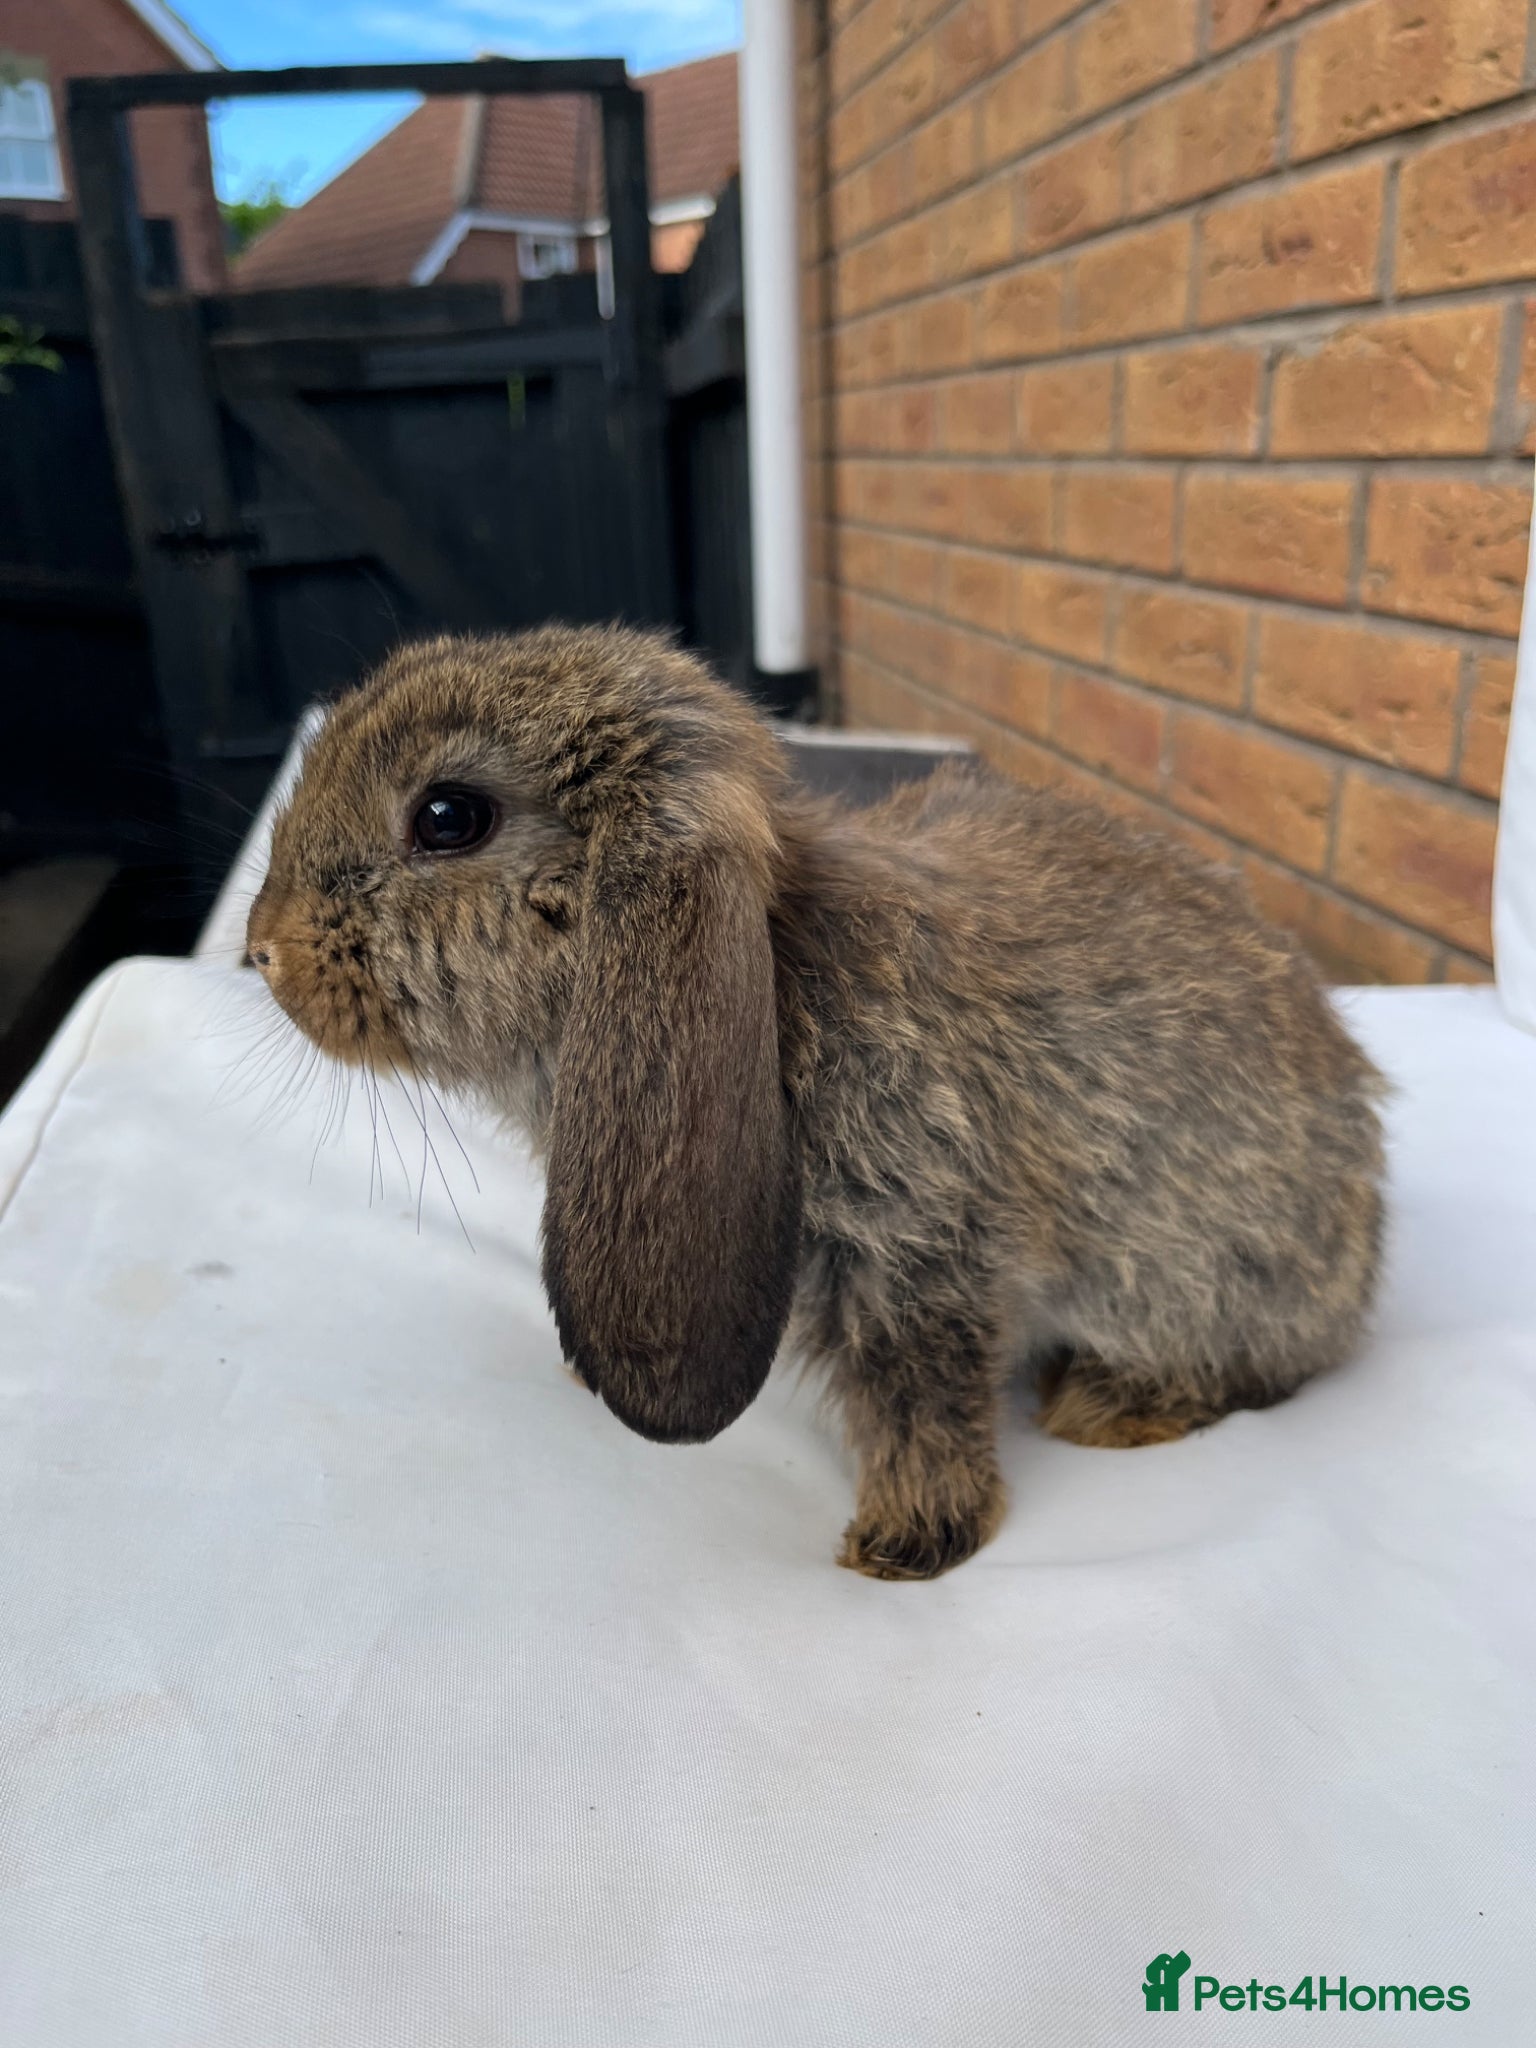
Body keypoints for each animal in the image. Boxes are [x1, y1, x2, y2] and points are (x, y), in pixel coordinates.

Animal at [247, 624, 1386, 1581]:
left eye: (449, 817)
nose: (261, 949)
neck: (784, 965)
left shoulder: (920, 1243)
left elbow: (918, 1392)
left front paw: (905, 1542)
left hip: (1196, 1275)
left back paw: (1106, 1405)